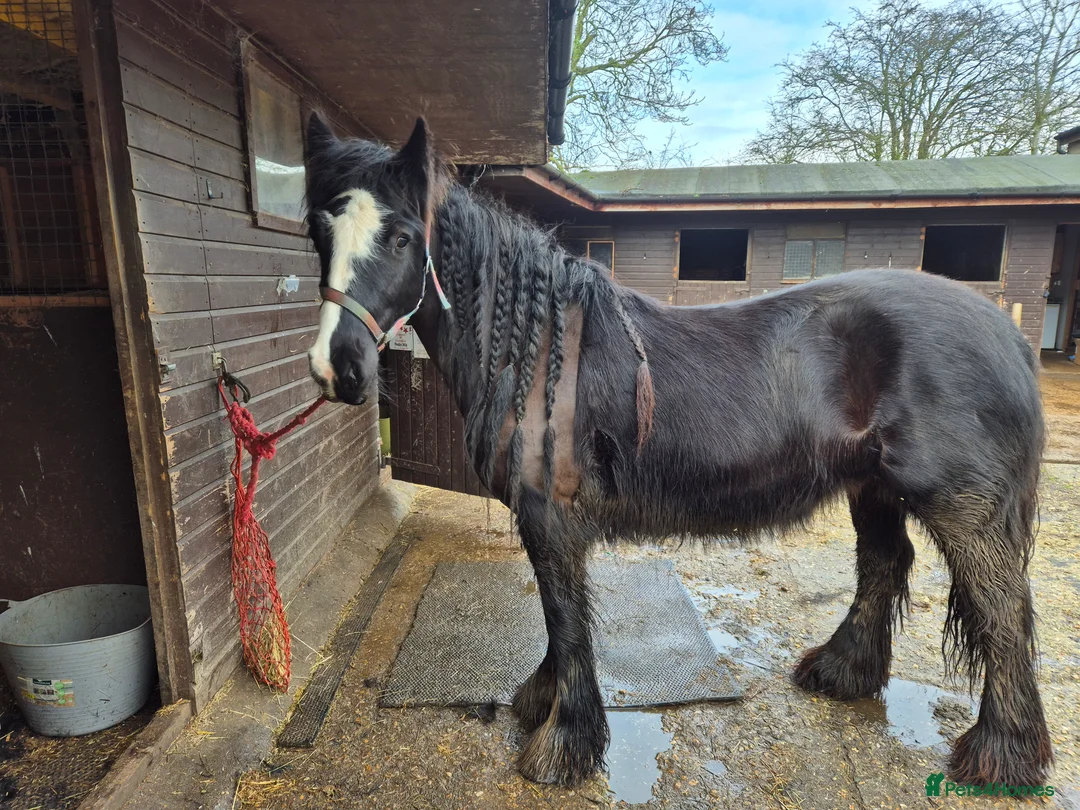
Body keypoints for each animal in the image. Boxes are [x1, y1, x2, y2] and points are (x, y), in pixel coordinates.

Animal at [302, 114, 1053, 789]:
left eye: (401, 236)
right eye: (317, 233)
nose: (338, 368)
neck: (539, 350)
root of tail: (1007, 333)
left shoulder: (551, 518)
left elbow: (564, 616)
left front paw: (561, 747)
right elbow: (557, 617)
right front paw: (542, 704)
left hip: (964, 509)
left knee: (1000, 610)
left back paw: (1001, 755)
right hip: (872, 488)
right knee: (884, 566)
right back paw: (843, 673)